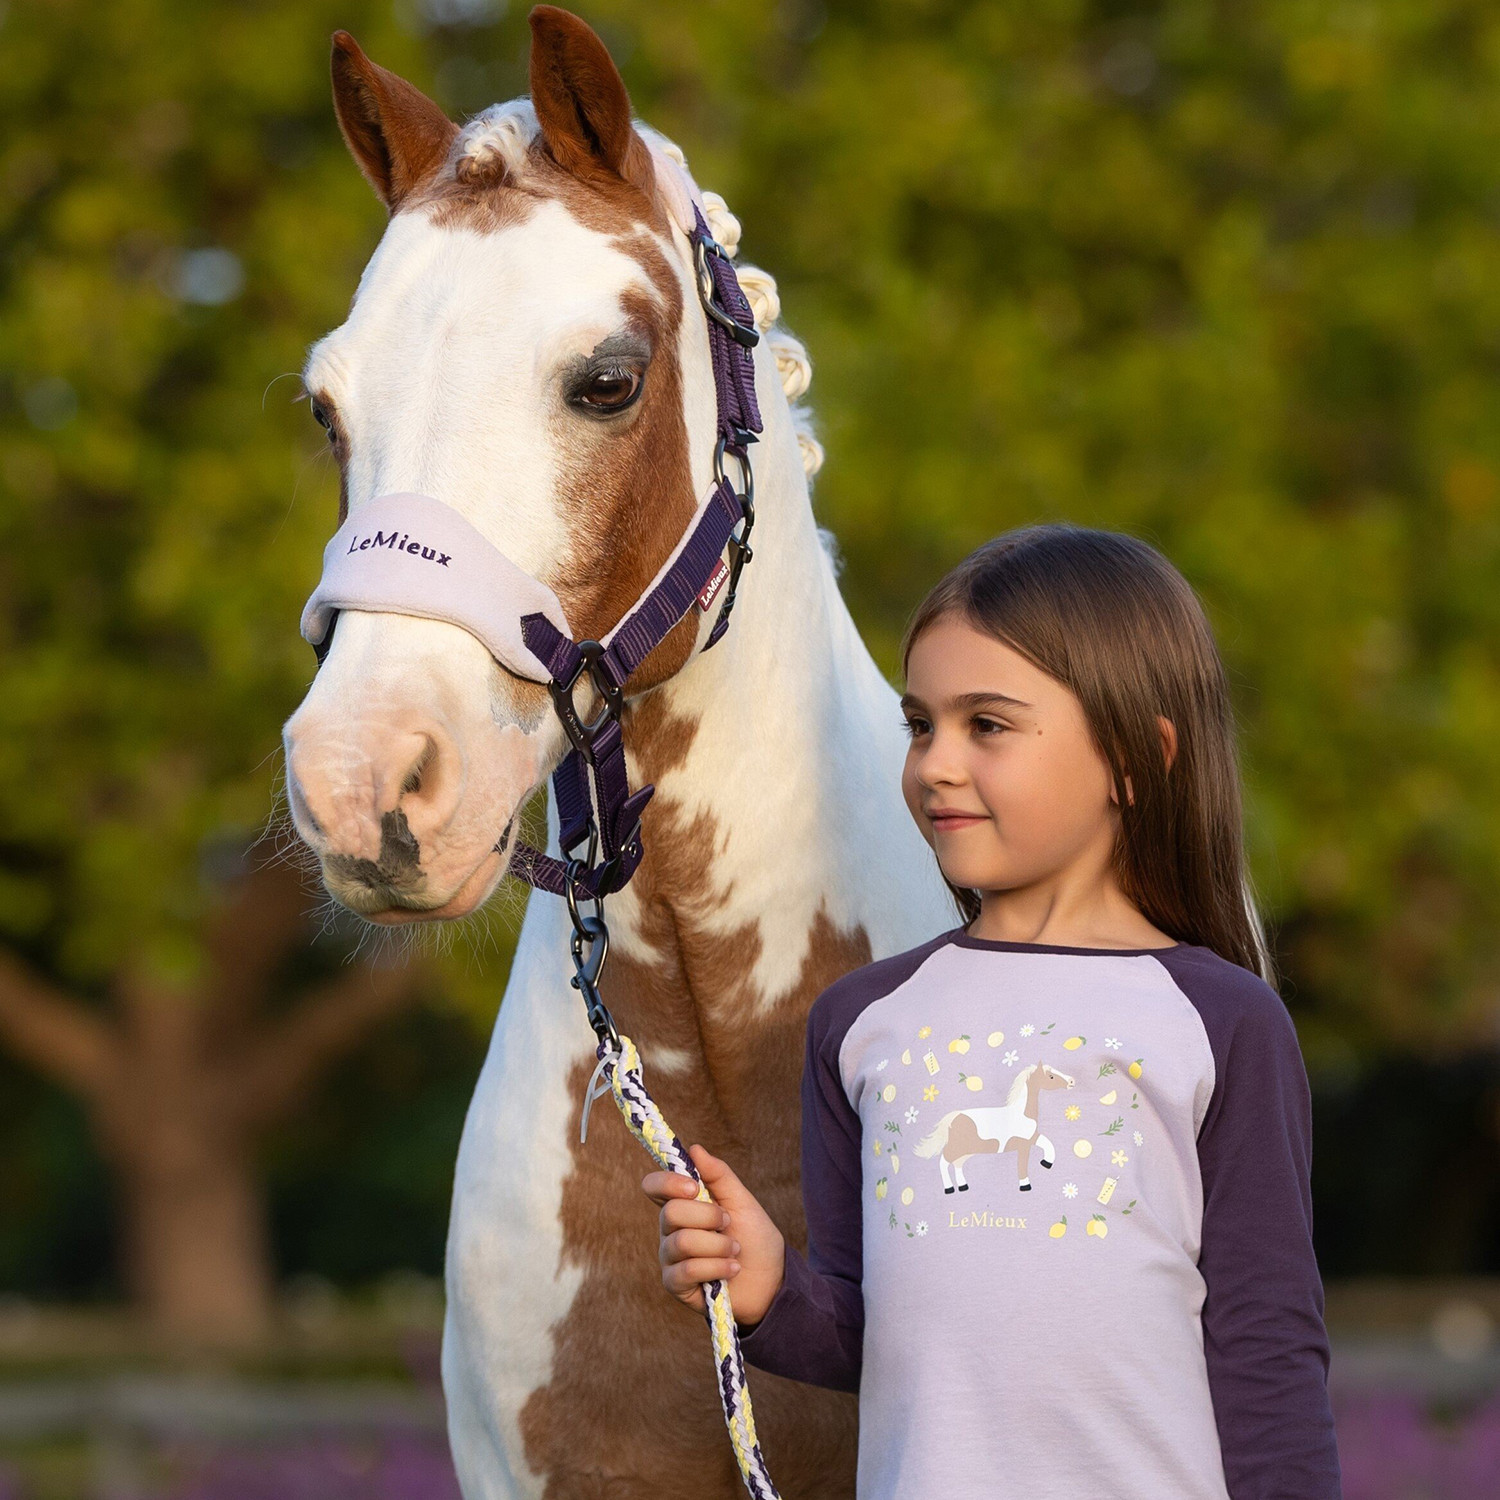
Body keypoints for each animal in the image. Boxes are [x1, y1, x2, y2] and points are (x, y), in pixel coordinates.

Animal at [912, 1064, 1075, 1193]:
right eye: (1051, 1077)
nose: (1072, 1081)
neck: (1020, 1114)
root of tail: (955, 1116)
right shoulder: (1023, 1144)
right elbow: (1022, 1164)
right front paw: (1025, 1185)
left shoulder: (1031, 1138)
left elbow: (1048, 1144)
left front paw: (1046, 1163)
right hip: (956, 1148)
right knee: (943, 1163)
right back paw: (949, 1188)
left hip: (966, 1151)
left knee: (957, 1165)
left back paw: (963, 1186)